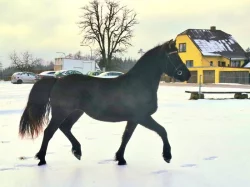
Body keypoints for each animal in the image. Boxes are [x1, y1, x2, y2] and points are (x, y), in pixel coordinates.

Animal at [19, 39, 190, 165]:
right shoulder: (142, 117)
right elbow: (162, 130)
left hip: (76, 112)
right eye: (173, 56)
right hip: (61, 112)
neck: (139, 83)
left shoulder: (134, 119)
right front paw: (167, 156)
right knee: (49, 131)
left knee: (65, 127)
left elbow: (126, 137)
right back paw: (42, 159)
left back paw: (77, 151)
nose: (187, 74)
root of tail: (57, 80)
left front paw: (120, 158)